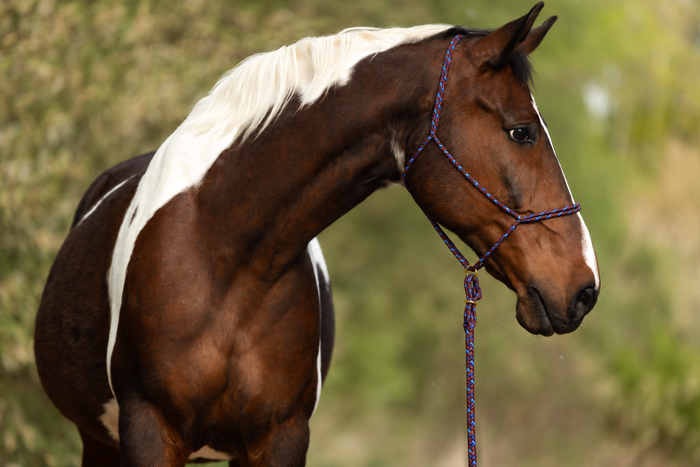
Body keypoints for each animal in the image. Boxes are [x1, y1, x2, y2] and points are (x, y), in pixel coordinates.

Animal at [34, 3, 600, 466]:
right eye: (521, 131)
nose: (585, 288)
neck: (225, 258)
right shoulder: (148, 431)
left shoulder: (280, 438)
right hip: (99, 442)